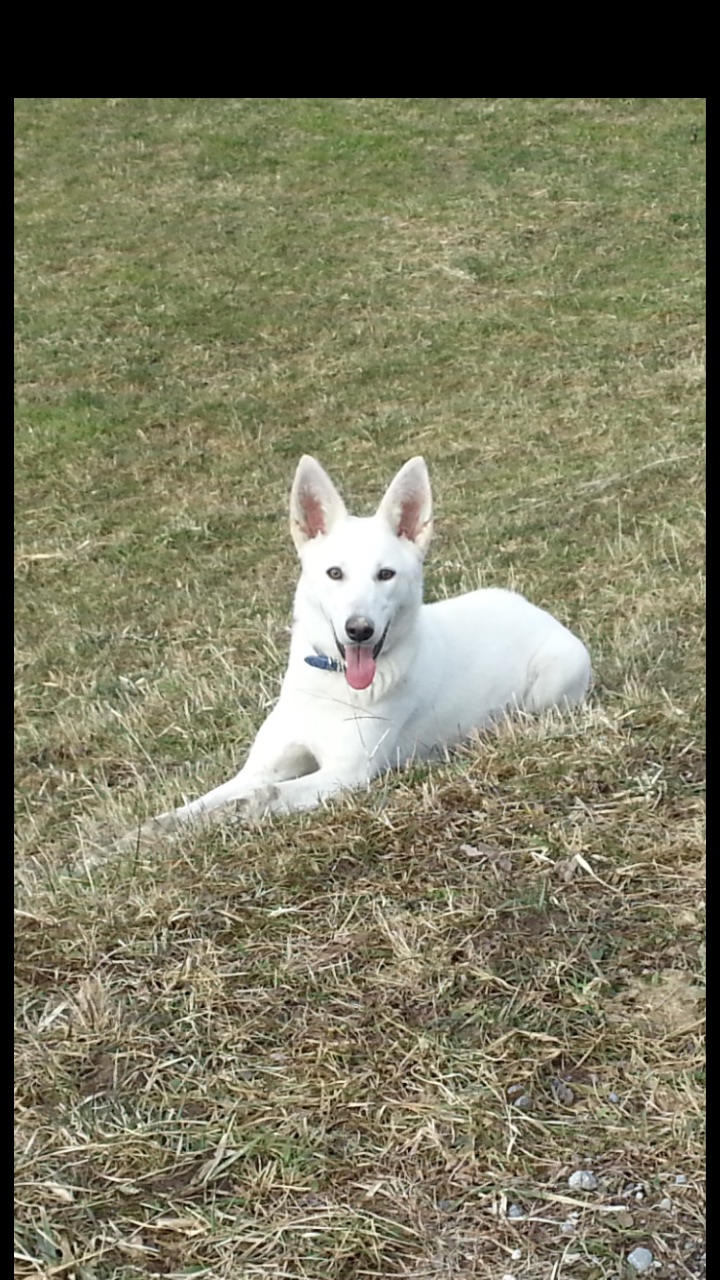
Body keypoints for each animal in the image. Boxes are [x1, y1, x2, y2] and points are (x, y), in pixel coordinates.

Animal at [124, 453, 589, 839]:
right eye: (335, 573)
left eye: (386, 574)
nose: (359, 630)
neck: (331, 685)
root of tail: (533, 608)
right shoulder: (258, 768)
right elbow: (198, 805)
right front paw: (137, 838)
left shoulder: (345, 775)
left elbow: (257, 799)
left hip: (556, 675)